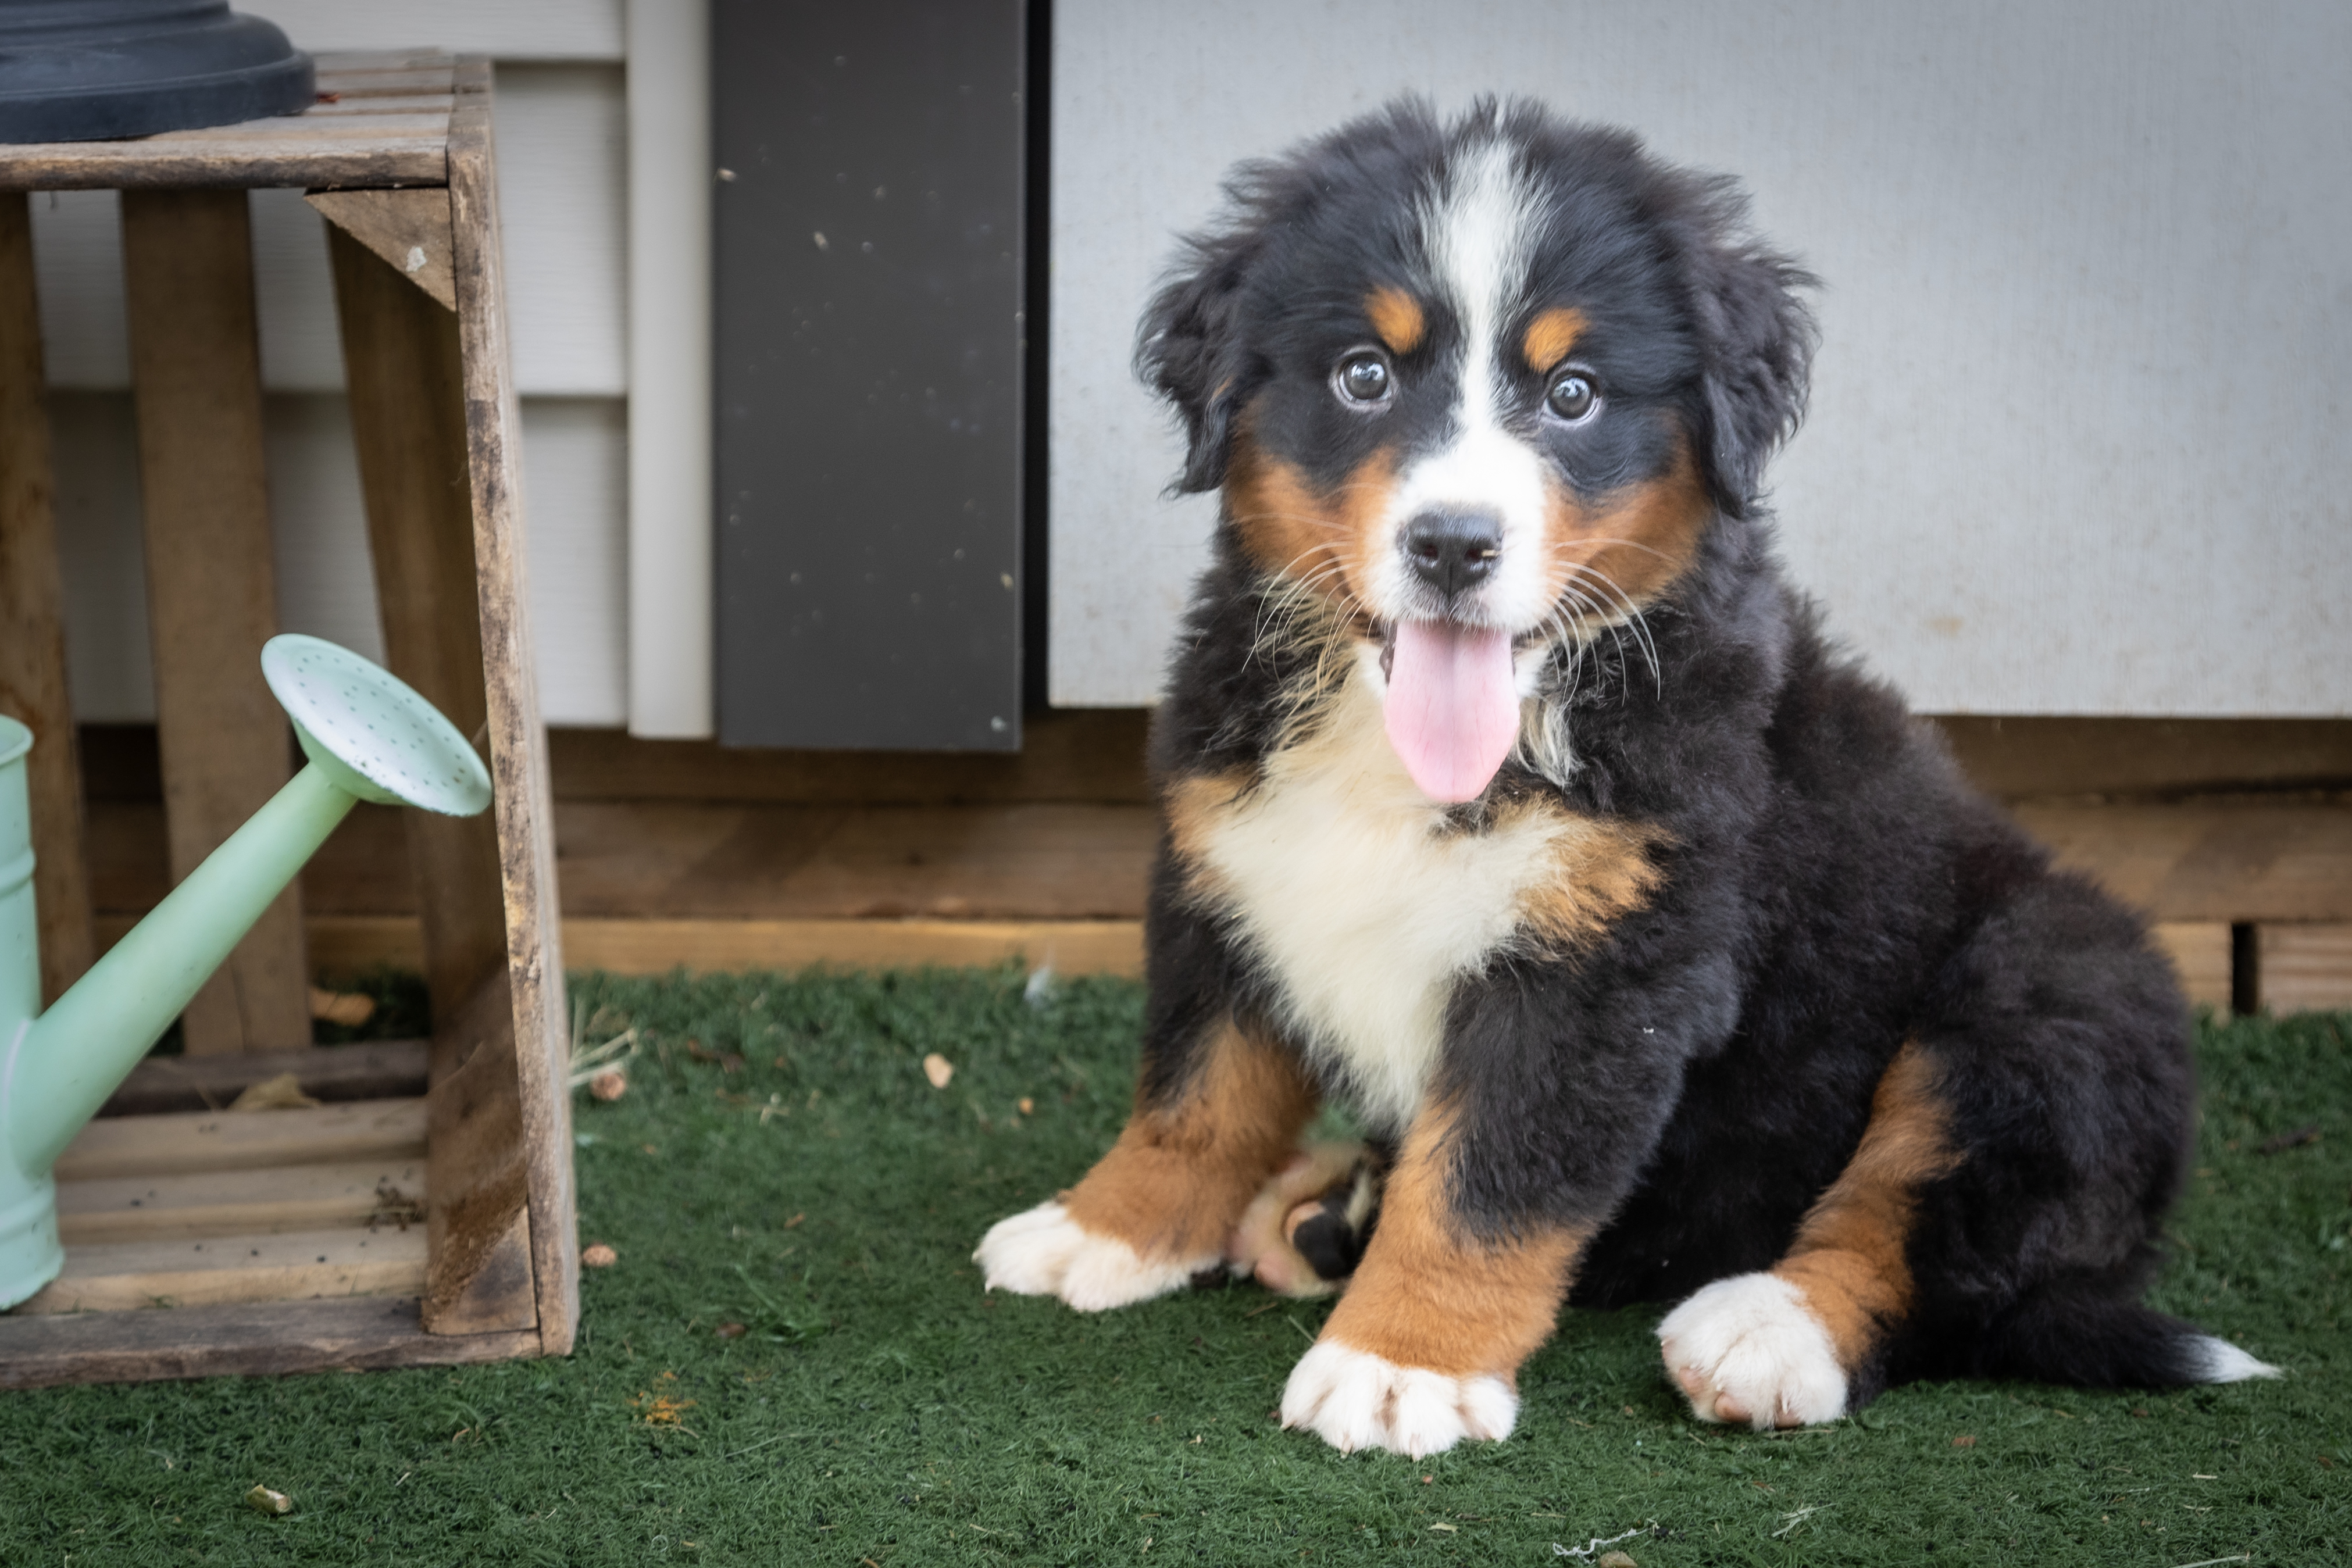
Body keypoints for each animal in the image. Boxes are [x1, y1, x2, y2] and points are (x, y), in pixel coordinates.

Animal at [973, 101, 2276, 1457]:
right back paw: (1323, 1208)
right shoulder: (1231, 868)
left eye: (1573, 394)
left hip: (2048, 997)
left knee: (1932, 1222)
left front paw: (1401, 1363)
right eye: (1364, 376)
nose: (1453, 544)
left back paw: (1769, 1332)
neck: (1408, 745)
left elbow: (1485, 1180)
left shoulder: (1606, 969)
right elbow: (1197, 1087)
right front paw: (1106, 1229)